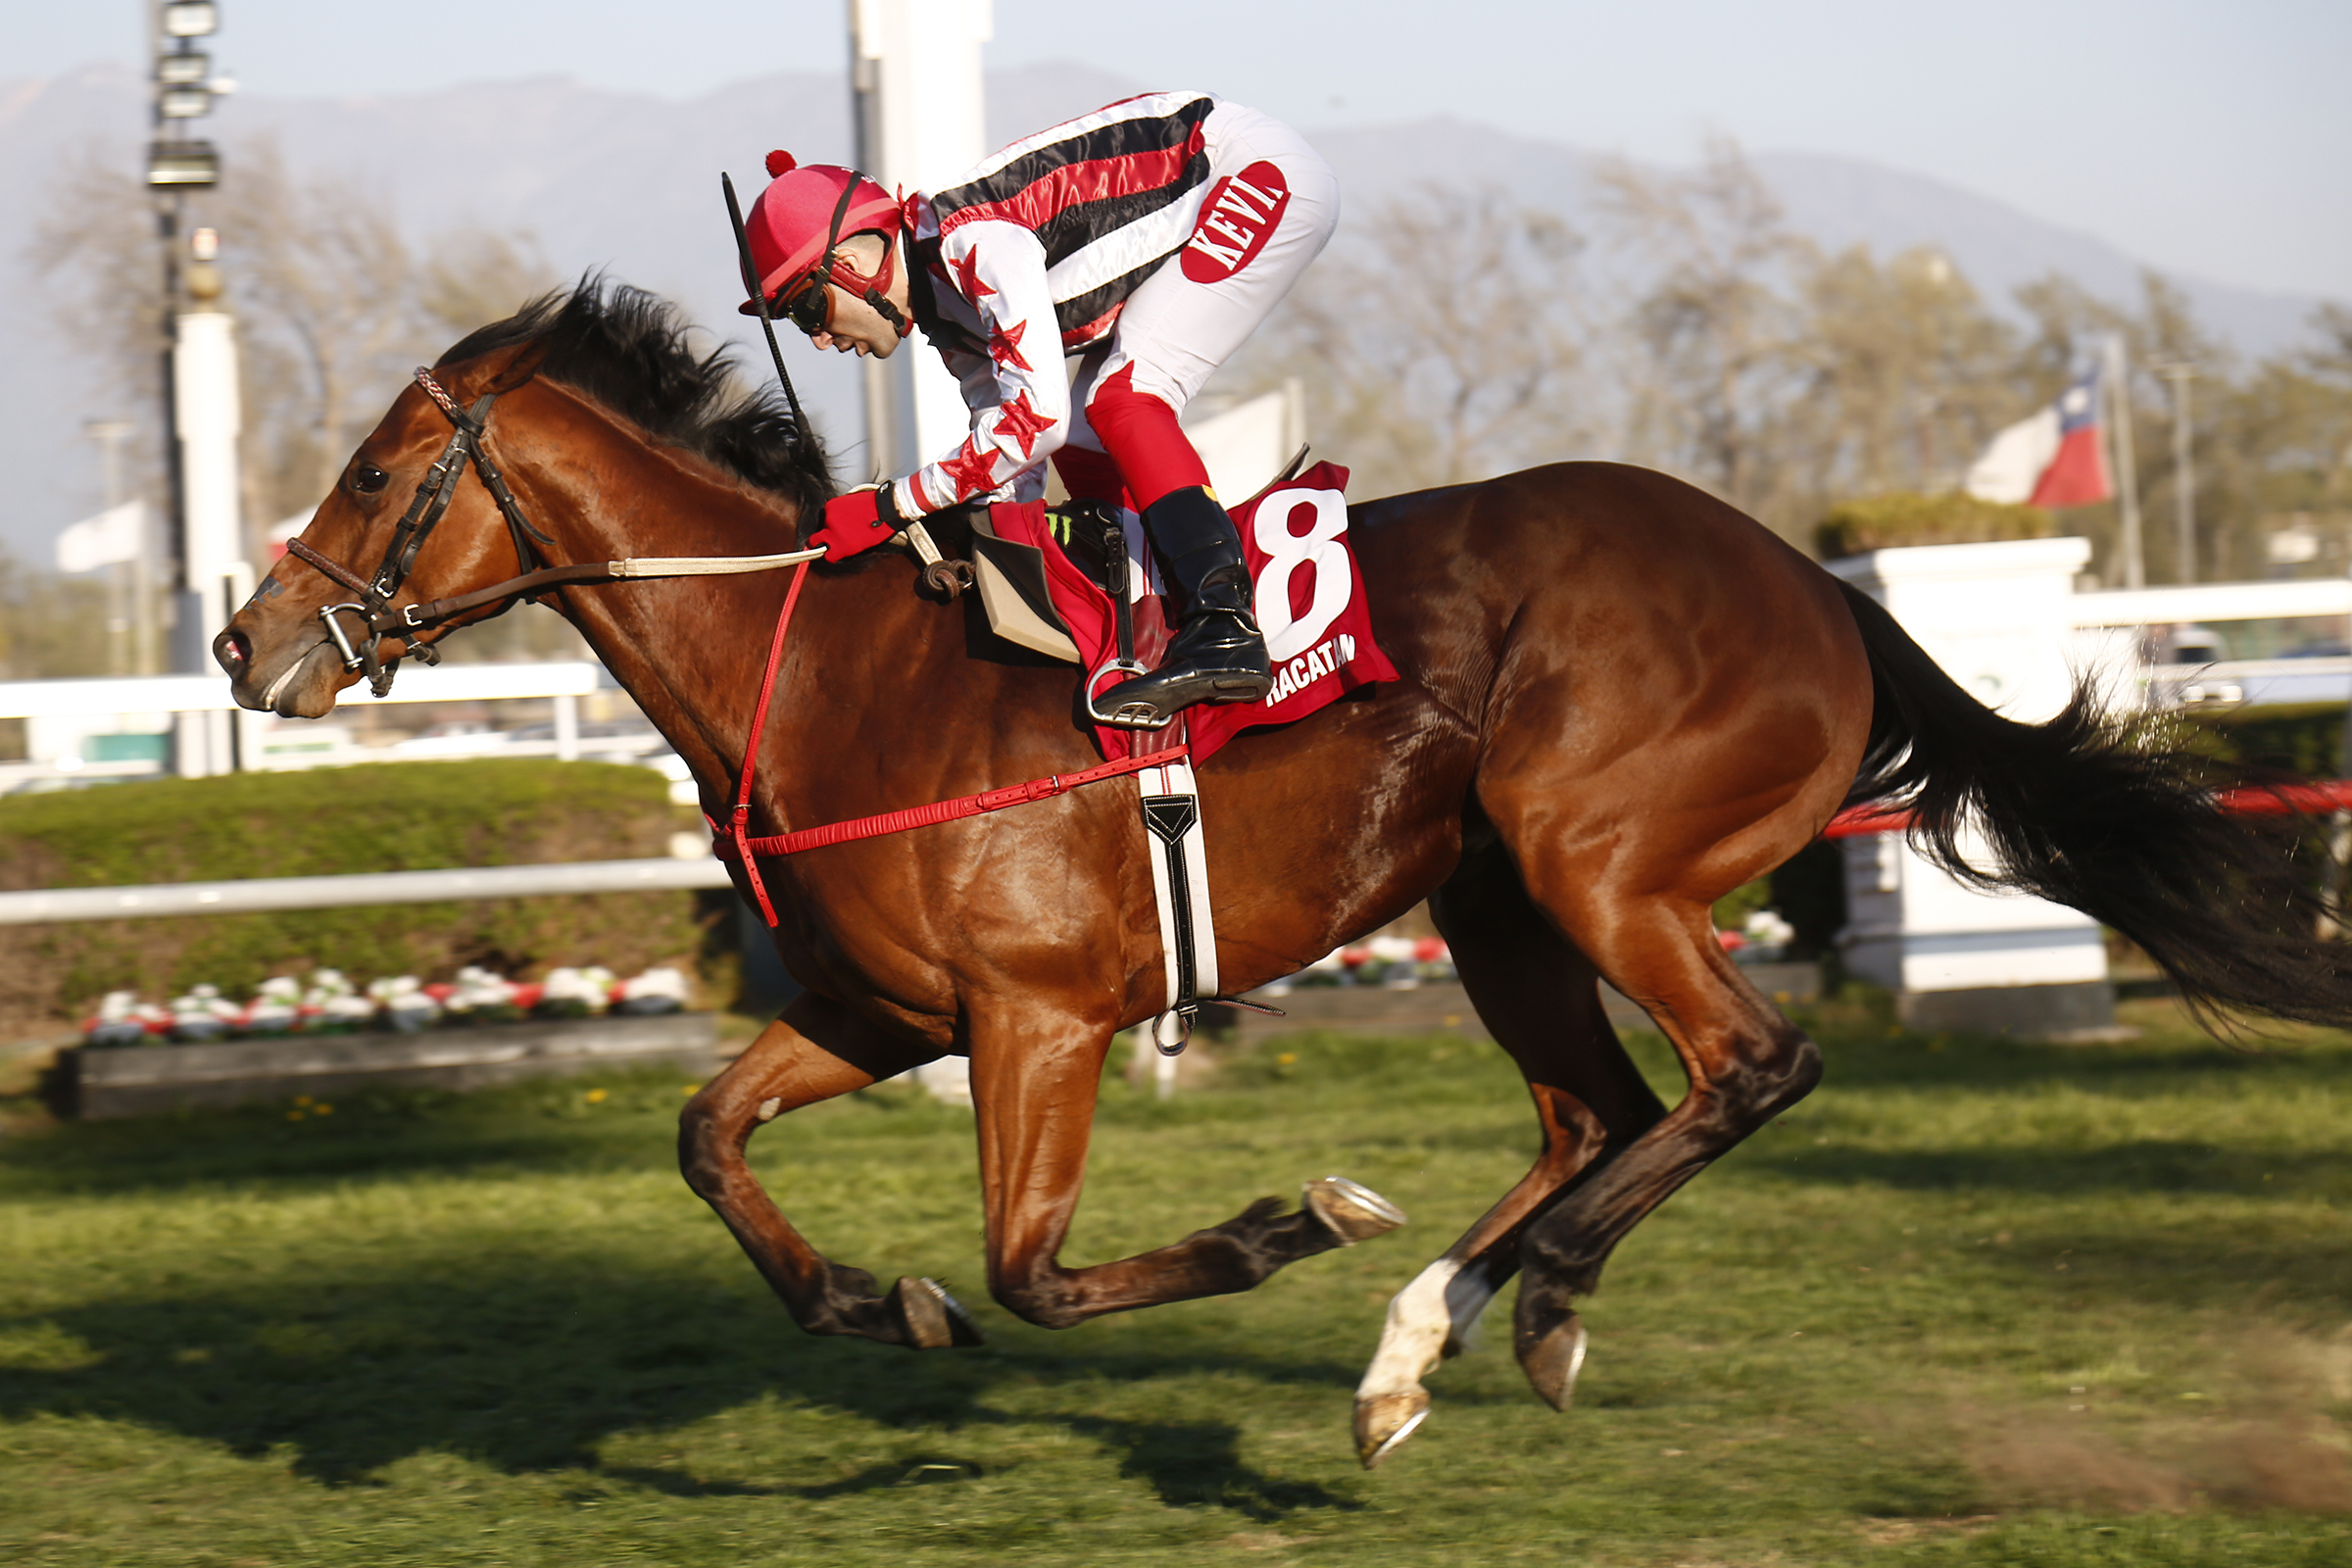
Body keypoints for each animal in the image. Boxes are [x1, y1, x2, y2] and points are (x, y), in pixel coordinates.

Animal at [216, 283, 2352, 1468]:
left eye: (377, 468)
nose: (246, 645)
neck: (817, 666)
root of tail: (1819, 586)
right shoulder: (878, 1008)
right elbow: (706, 1137)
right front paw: (878, 1303)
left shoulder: (1041, 1017)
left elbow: (1037, 1264)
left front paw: (1265, 1229)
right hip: (1499, 897)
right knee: (1597, 1109)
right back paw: (1414, 1352)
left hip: (1598, 855)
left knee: (1746, 1070)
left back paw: (1526, 1301)